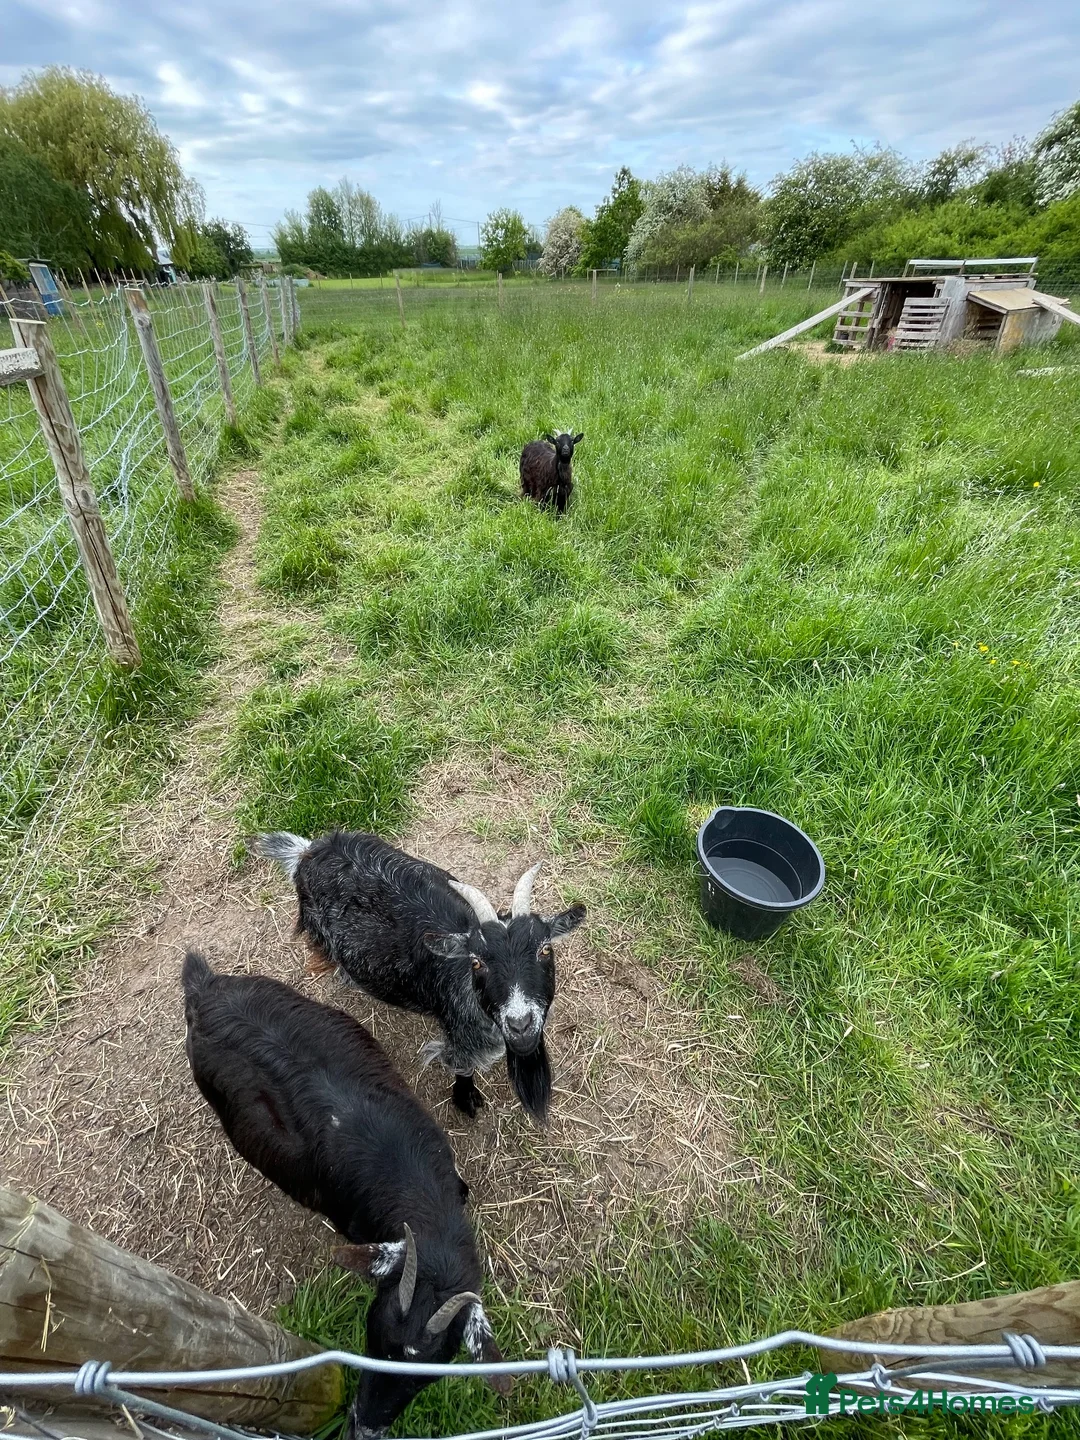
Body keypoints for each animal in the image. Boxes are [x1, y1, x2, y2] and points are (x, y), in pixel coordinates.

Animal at [255, 831, 585, 1122]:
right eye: (477, 962)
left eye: (545, 950)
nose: (520, 1025)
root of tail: (306, 851)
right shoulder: (460, 1036)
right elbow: (461, 1066)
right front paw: (465, 1099)